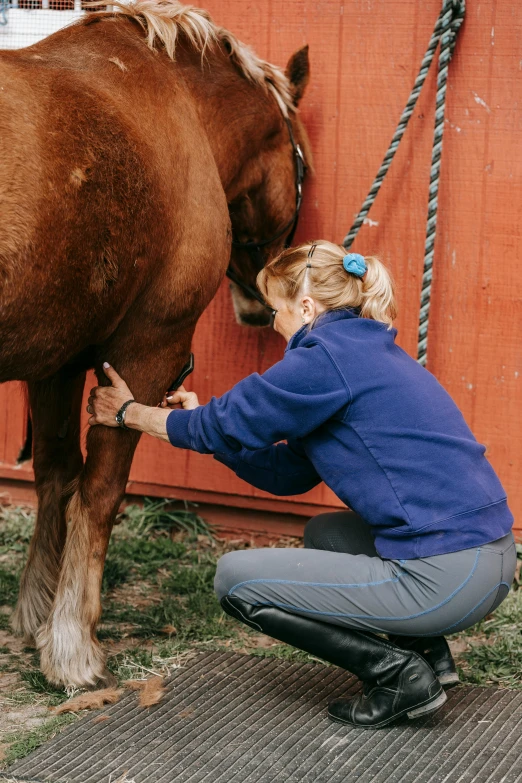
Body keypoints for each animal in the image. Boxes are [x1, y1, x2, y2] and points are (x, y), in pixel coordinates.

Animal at [1, 0, 308, 688]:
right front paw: (73, 647)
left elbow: (56, 475)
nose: (259, 305)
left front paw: (36, 616)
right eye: (302, 166)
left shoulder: (57, 356)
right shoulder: (149, 347)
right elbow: (101, 491)